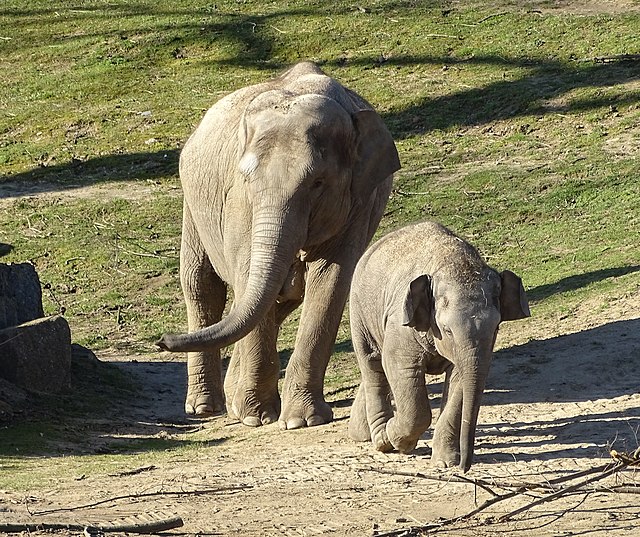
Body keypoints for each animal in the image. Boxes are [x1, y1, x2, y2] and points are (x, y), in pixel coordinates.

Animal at [156, 62, 401, 430]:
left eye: (318, 183)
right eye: (247, 178)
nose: (161, 341)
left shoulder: (360, 203)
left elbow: (331, 281)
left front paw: (302, 420)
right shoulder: (238, 201)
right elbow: (247, 275)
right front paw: (256, 417)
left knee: (283, 295)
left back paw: (232, 401)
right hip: (193, 205)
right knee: (203, 285)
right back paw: (205, 407)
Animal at [347, 221, 530, 472]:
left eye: (496, 328)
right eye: (447, 330)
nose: (464, 466)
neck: (452, 261)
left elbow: (460, 381)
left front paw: (445, 462)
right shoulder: (400, 325)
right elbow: (399, 367)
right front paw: (398, 440)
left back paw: (363, 433)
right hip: (359, 311)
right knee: (372, 364)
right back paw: (381, 439)